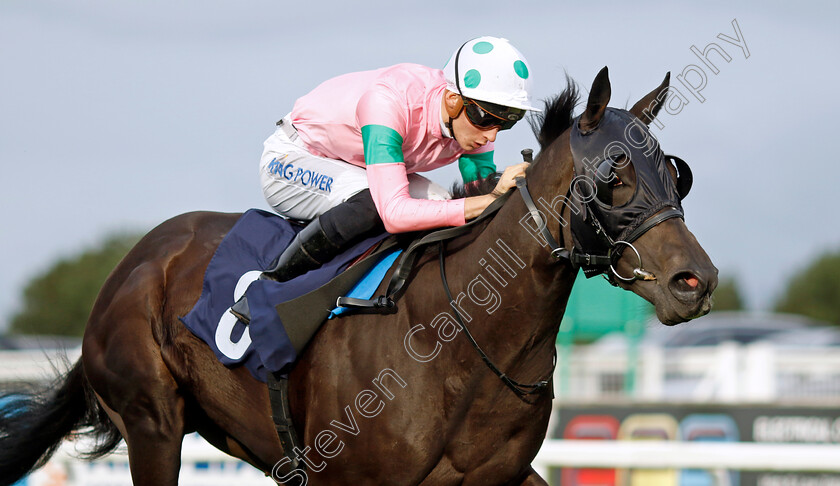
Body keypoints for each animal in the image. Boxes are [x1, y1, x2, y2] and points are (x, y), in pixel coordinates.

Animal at [0, 65, 720, 486]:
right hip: (153, 425)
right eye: (614, 175)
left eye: (675, 172)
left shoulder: (503, 479)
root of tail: (132, 265)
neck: (461, 341)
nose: (696, 280)